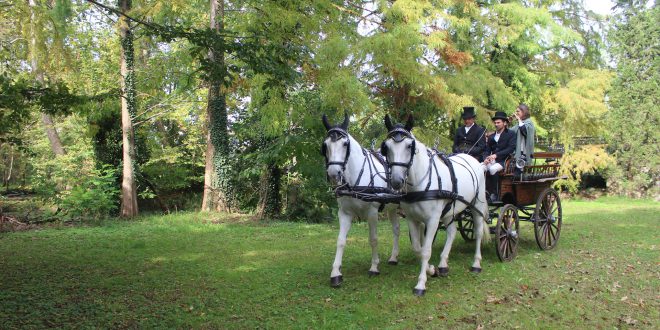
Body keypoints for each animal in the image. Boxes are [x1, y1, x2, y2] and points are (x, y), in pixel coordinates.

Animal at [320, 113, 402, 286]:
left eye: (345, 144)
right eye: (325, 145)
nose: (333, 174)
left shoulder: (372, 213)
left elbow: (373, 239)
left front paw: (374, 267)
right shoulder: (344, 213)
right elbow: (340, 240)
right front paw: (336, 272)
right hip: (392, 208)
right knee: (396, 229)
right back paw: (393, 257)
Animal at [376, 114, 490, 296]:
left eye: (410, 146)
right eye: (386, 147)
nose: (396, 181)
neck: (420, 183)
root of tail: (476, 162)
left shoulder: (433, 220)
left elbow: (426, 250)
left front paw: (421, 283)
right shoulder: (412, 219)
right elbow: (418, 248)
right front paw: (431, 269)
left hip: (476, 206)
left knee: (478, 232)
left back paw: (476, 264)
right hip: (450, 211)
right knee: (452, 231)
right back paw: (443, 264)